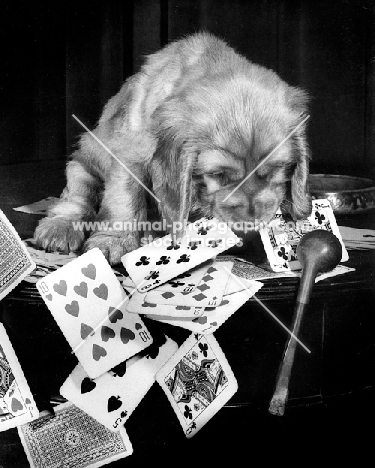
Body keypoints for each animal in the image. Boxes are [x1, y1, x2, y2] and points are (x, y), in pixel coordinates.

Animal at [34, 33, 312, 266]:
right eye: (218, 175)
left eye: (277, 170)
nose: (251, 225)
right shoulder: (129, 156)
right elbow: (123, 200)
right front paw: (113, 240)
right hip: (83, 158)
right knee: (76, 195)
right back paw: (60, 228)